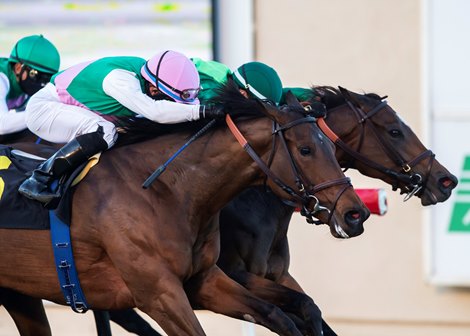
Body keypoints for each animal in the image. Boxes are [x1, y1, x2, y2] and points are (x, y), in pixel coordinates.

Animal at [0, 82, 370, 336]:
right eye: (306, 149)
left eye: (331, 146)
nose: (355, 214)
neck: (167, 192)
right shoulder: (160, 294)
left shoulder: (204, 280)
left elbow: (279, 315)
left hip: (20, 294)